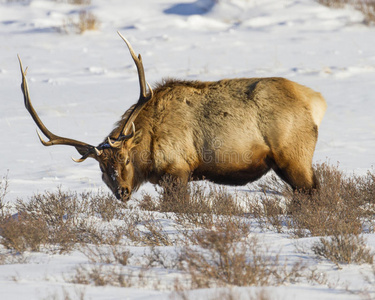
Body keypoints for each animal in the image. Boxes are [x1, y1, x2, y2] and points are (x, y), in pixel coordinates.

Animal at [19, 31, 328, 202]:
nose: (122, 192)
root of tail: (317, 101)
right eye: (101, 168)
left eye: (126, 159)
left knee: (313, 191)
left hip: (294, 156)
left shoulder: (178, 170)